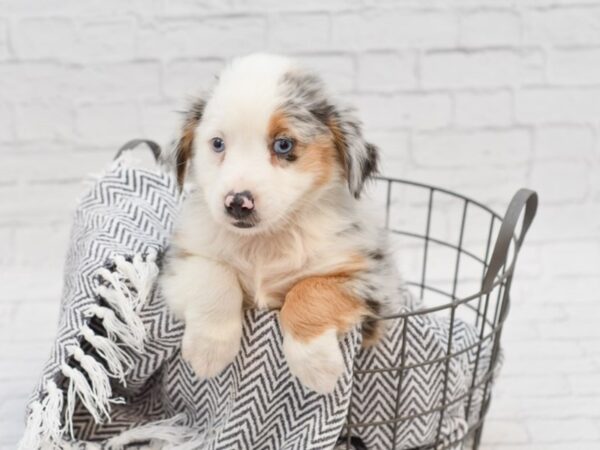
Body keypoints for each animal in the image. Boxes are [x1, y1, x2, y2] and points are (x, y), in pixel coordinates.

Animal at [162, 53, 400, 394]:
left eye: (284, 145)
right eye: (218, 143)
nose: (238, 202)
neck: (264, 243)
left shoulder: (374, 282)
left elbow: (310, 289)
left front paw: (316, 366)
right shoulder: (181, 256)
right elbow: (213, 276)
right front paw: (209, 350)